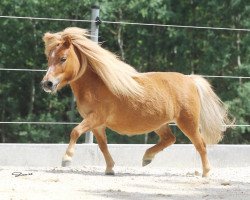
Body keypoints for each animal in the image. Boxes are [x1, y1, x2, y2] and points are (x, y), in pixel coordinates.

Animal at [40, 26, 230, 177]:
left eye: (63, 58)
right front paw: (110, 168)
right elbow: (102, 145)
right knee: (170, 139)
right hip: (160, 123)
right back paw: (147, 158)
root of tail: (190, 80)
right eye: (48, 58)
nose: (47, 83)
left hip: (188, 122)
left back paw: (206, 172)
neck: (96, 85)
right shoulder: (97, 125)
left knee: (200, 144)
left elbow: (75, 131)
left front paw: (67, 159)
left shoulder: (96, 118)